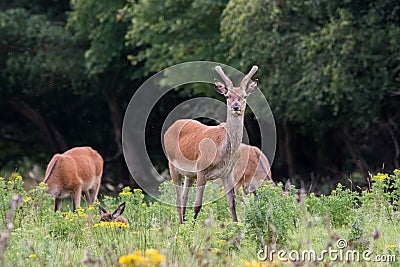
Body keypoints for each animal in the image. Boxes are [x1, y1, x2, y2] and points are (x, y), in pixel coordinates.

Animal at [164, 65, 258, 224]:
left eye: (244, 96)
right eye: (228, 96)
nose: (236, 106)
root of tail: (171, 127)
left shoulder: (227, 173)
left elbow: (231, 202)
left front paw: (237, 226)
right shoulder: (202, 170)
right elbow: (197, 204)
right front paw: (192, 228)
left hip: (189, 174)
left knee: (184, 197)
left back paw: (183, 223)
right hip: (172, 165)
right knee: (178, 199)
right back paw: (181, 224)